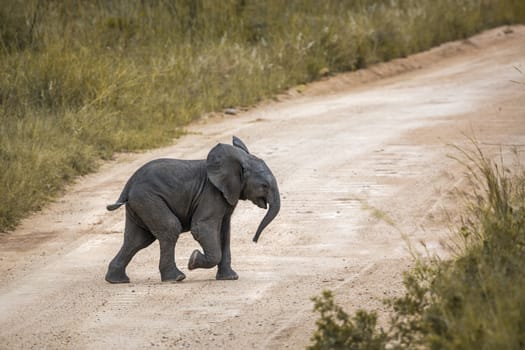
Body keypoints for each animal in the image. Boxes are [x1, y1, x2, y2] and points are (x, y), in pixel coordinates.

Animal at [104, 135, 280, 284]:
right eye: (264, 186)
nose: (254, 240)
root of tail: (129, 184)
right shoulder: (211, 194)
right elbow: (201, 227)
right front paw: (193, 260)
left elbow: (224, 232)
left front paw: (230, 278)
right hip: (148, 199)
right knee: (169, 228)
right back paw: (176, 278)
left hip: (140, 203)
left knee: (138, 240)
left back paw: (116, 280)